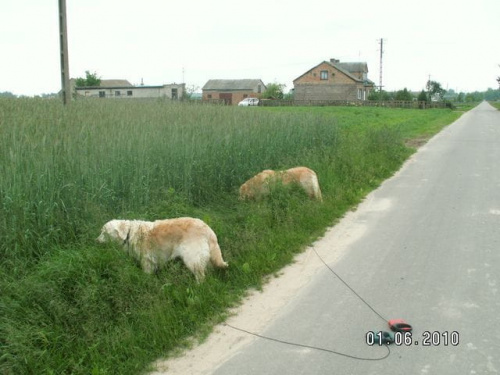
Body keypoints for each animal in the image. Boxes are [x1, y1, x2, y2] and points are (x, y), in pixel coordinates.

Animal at [96, 217, 229, 282]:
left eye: (104, 233)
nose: (96, 241)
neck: (129, 234)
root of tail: (208, 229)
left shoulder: (147, 262)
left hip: (192, 258)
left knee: (200, 275)